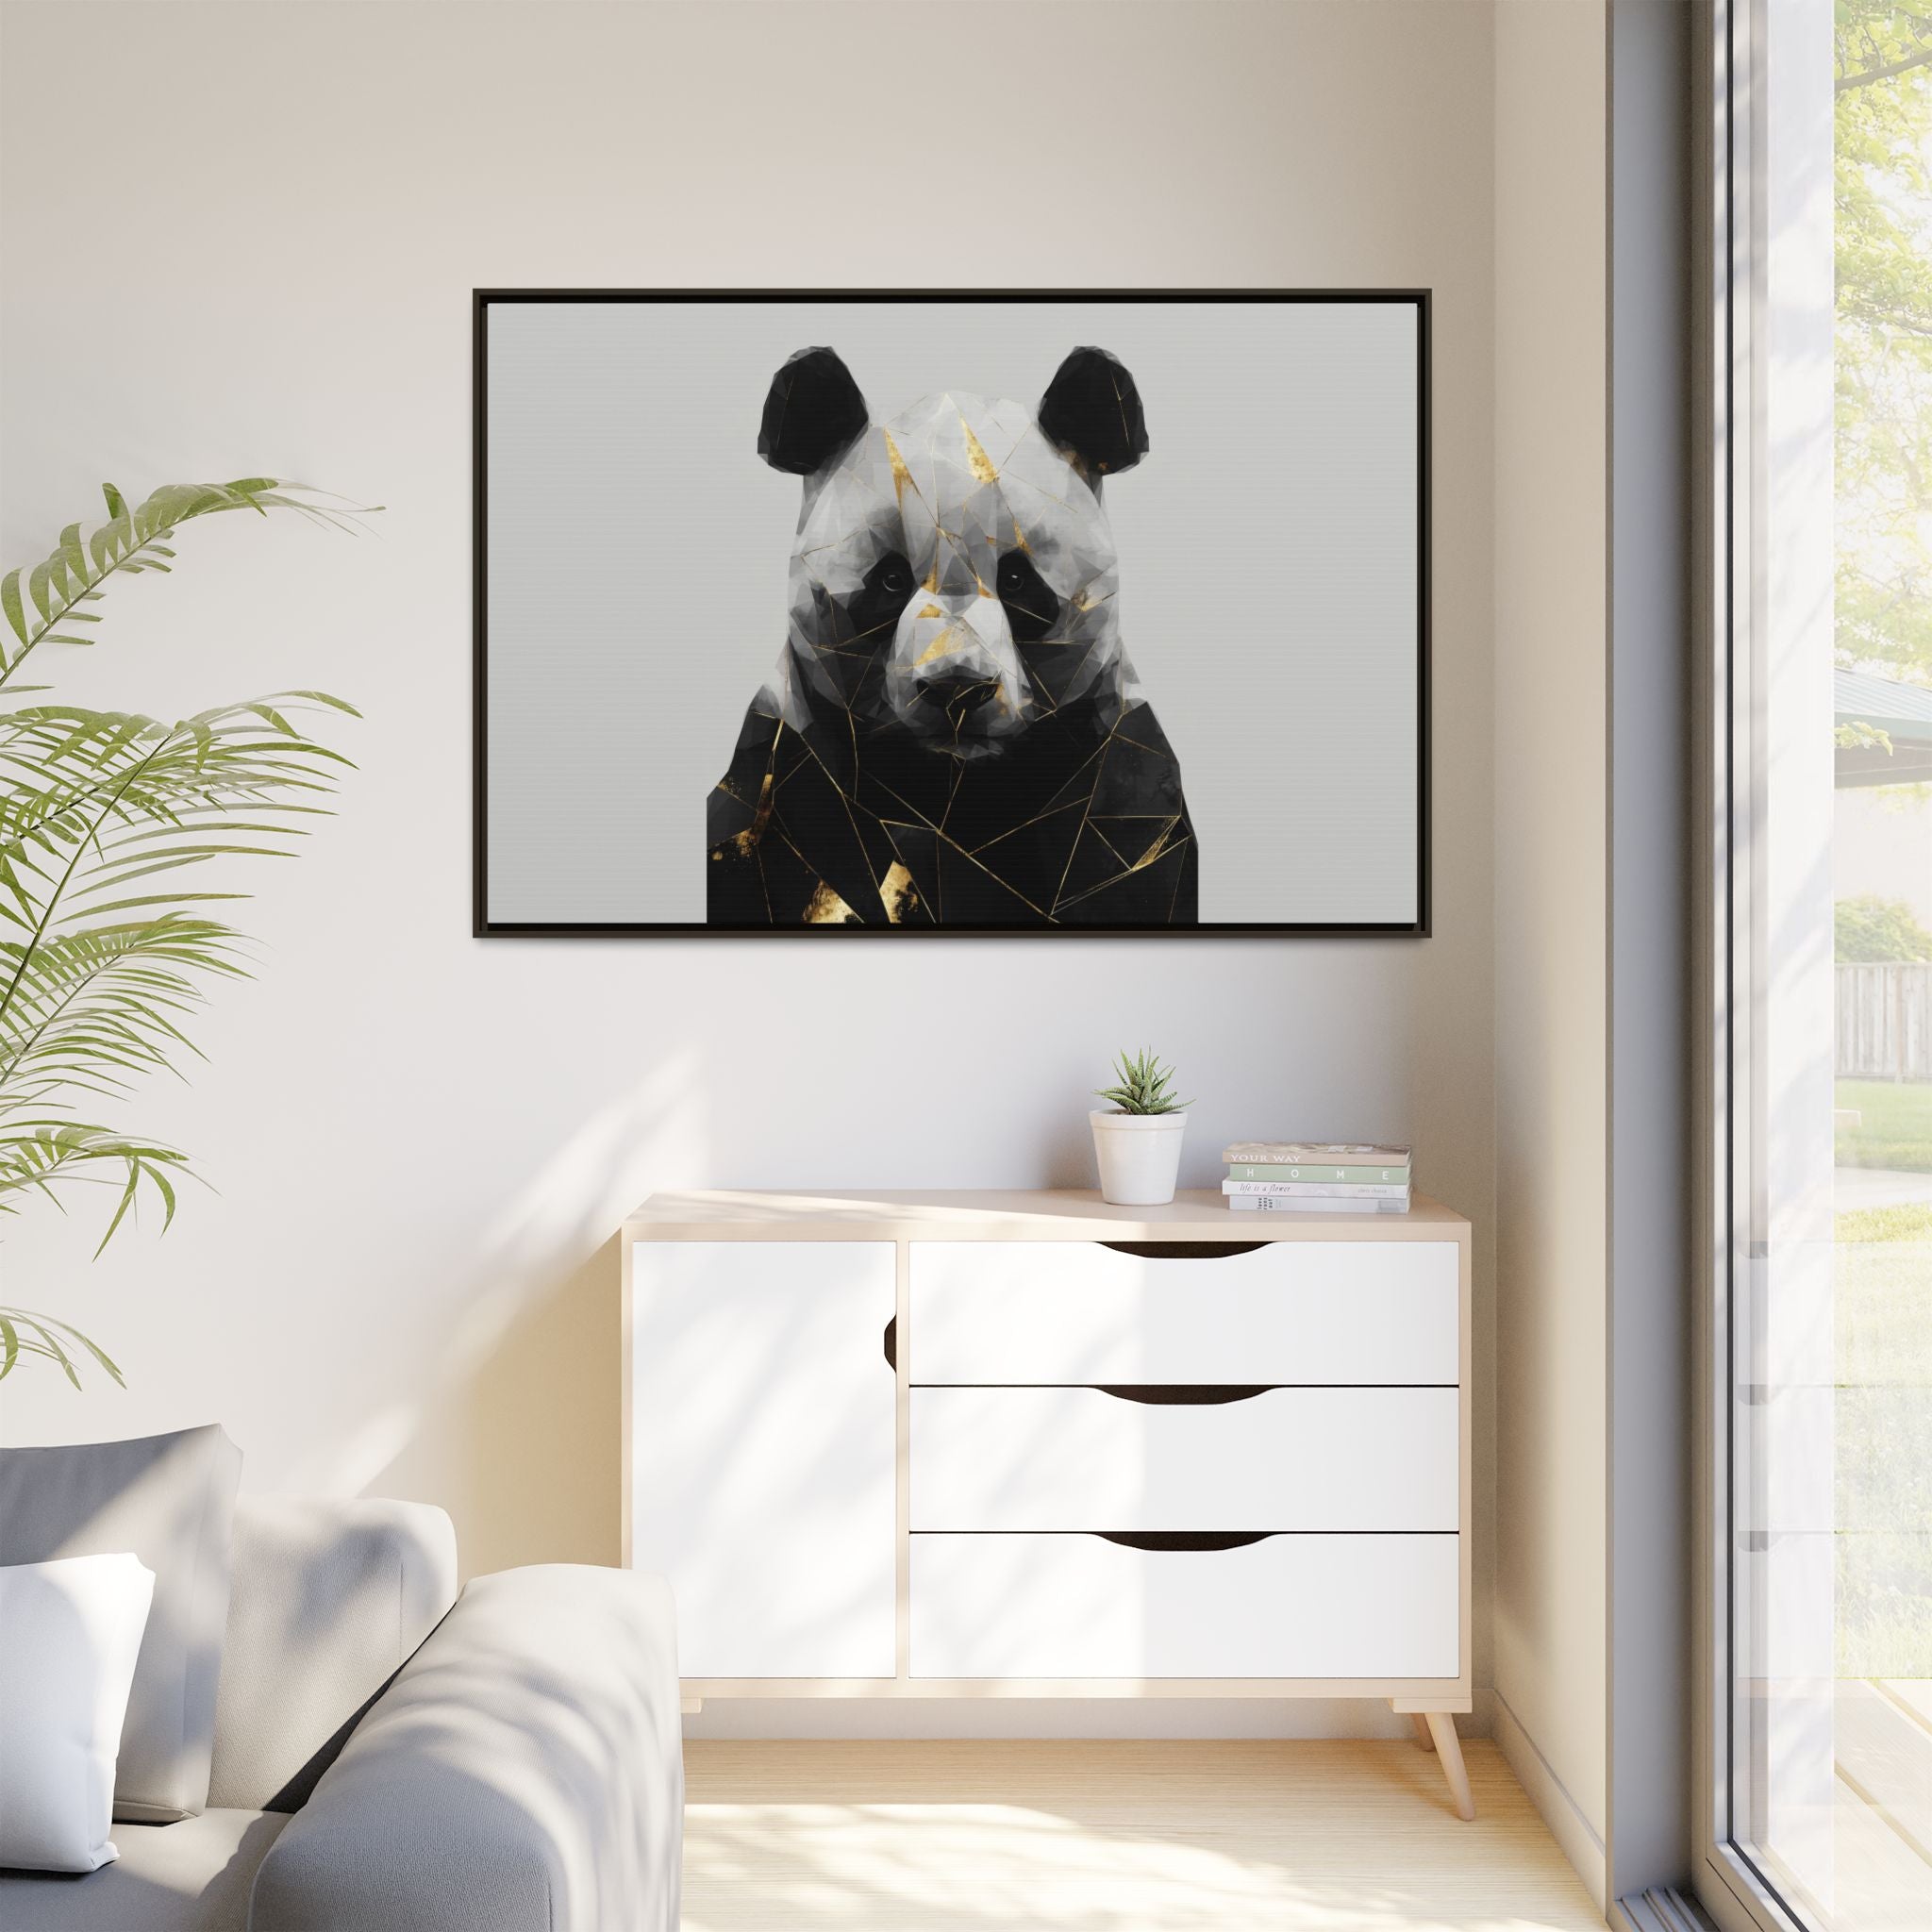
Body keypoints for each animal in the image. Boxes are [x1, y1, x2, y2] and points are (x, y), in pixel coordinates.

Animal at [706, 345, 1198, 927]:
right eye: (891, 580)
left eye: (1017, 580)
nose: (957, 690)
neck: (953, 791)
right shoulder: (785, 774)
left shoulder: (1120, 786)